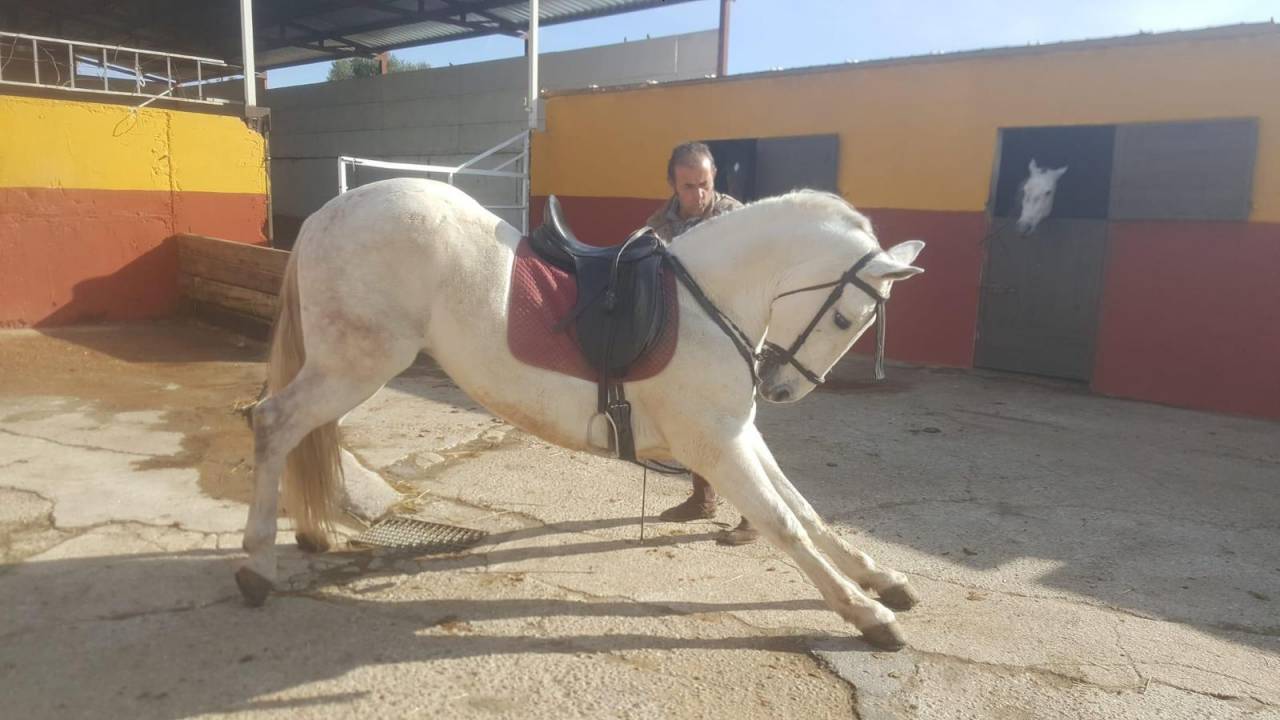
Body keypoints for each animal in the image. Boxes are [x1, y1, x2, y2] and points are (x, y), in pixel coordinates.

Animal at [237, 178, 926, 650]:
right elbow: (783, 522)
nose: (781, 388)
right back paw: (257, 566)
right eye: (847, 317)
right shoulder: (715, 443)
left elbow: (805, 510)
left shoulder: (737, 433)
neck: (703, 302)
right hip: (355, 367)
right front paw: (866, 614)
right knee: (273, 424)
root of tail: (327, 213)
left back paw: (312, 532)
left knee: (302, 433)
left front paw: (881, 578)